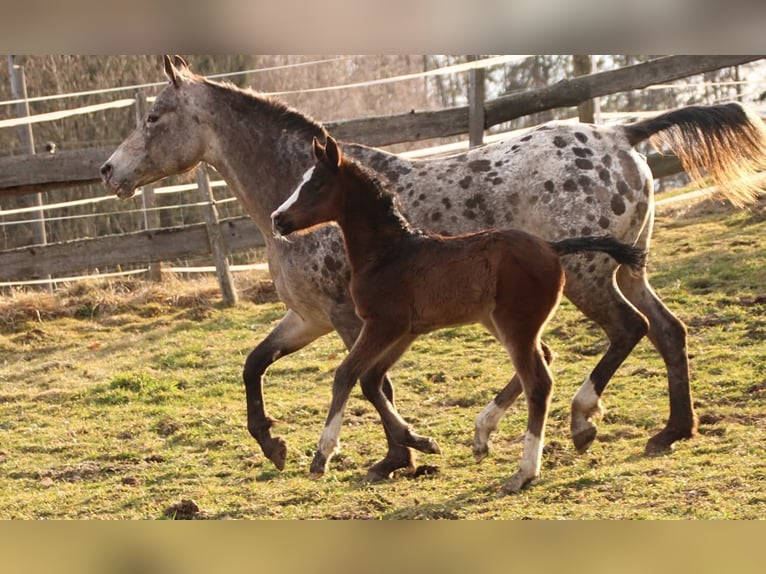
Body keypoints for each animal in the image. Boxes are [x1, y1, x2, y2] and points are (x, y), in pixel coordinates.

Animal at [271, 136, 647, 492]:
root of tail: (552, 247)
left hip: (515, 324)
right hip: (499, 322)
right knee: (542, 359)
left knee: (539, 383)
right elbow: (371, 380)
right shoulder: (405, 331)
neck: (387, 254)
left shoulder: (384, 324)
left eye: (316, 185)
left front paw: (323, 454)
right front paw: (420, 440)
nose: (278, 219)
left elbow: (346, 374)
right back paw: (484, 436)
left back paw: (524, 472)